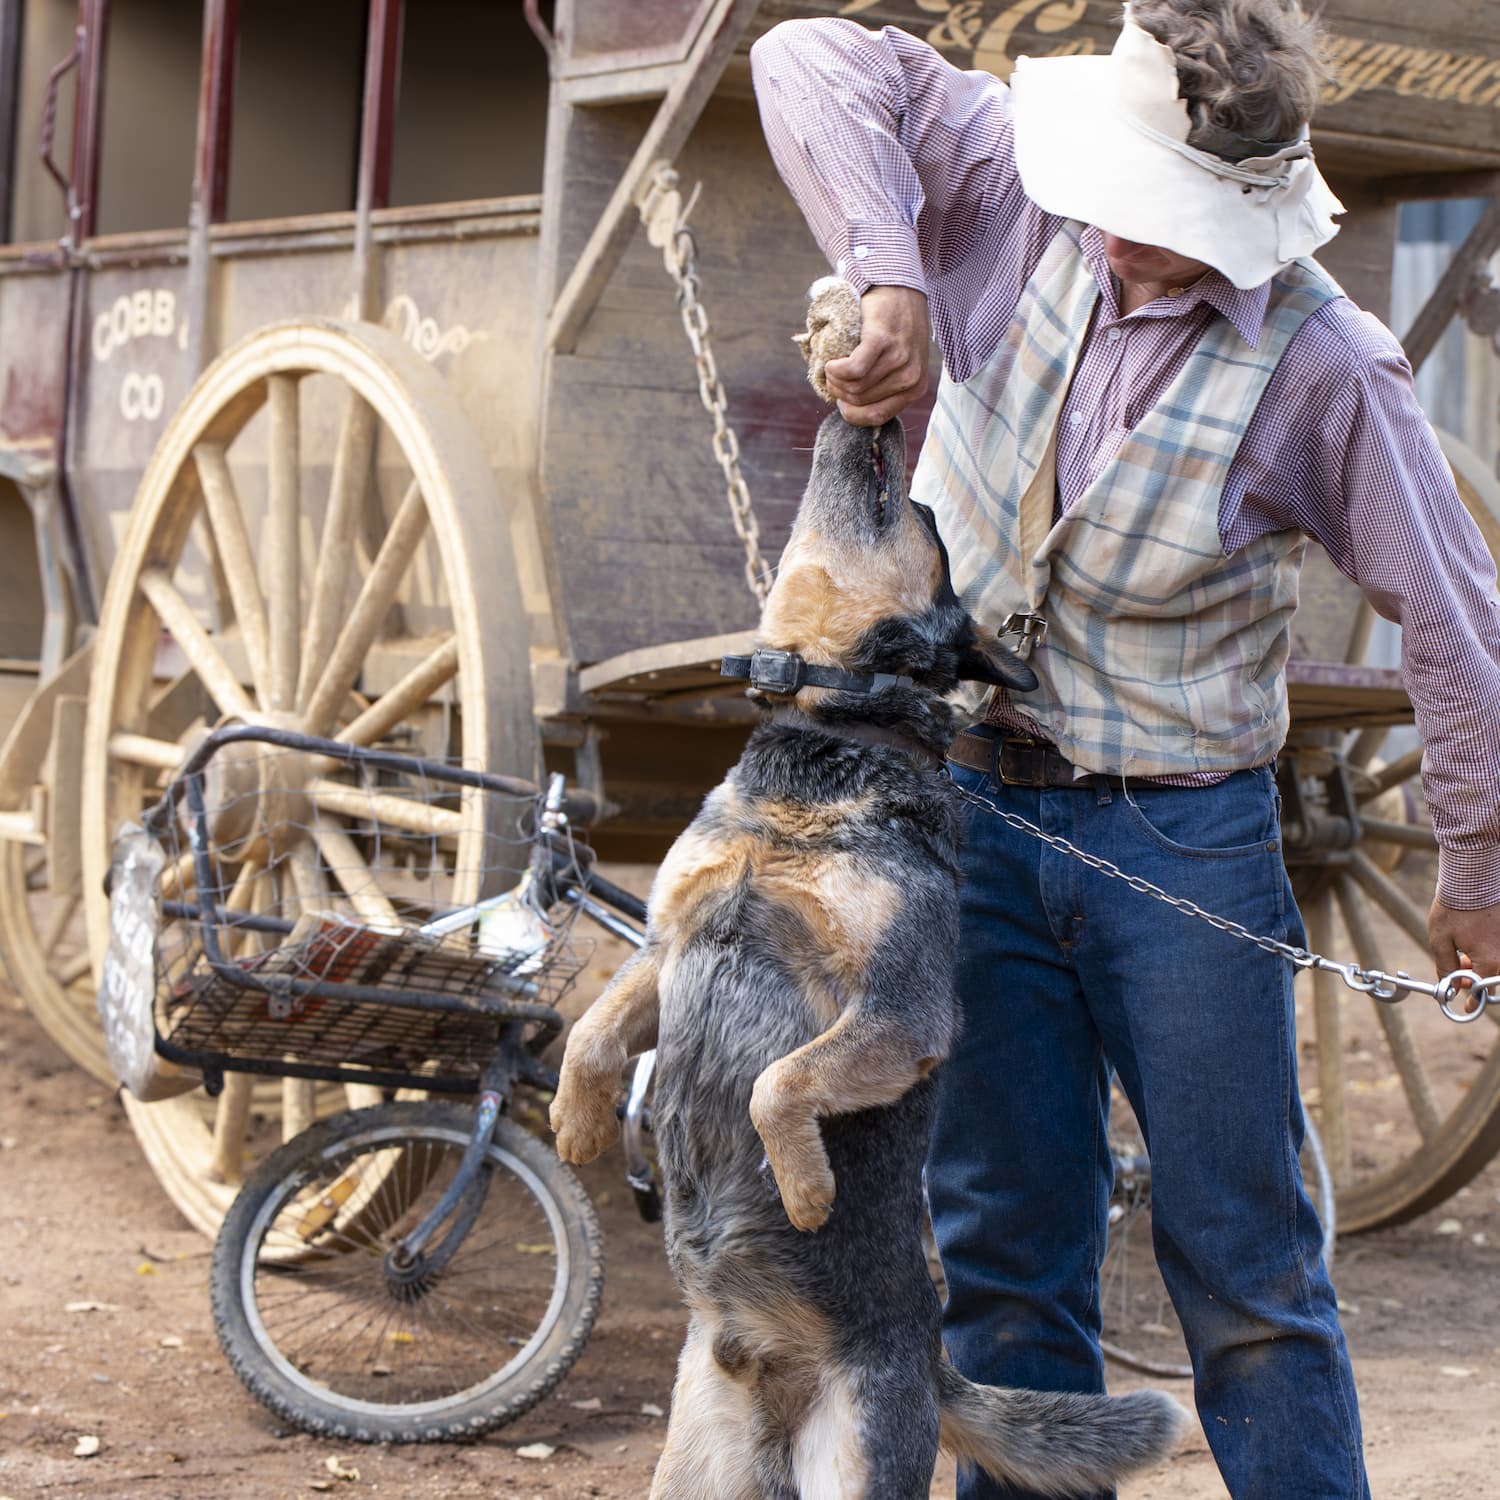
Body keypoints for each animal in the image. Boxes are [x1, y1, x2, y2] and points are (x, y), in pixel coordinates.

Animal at [549, 414, 1182, 1500]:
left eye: (928, 527)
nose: (879, 415)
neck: (820, 744)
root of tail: (931, 1358)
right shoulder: (668, 943)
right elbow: (591, 1036)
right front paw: (575, 1125)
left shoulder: (900, 1009)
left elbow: (777, 1087)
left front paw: (805, 1189)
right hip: (693, 1470)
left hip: (857, 1458)